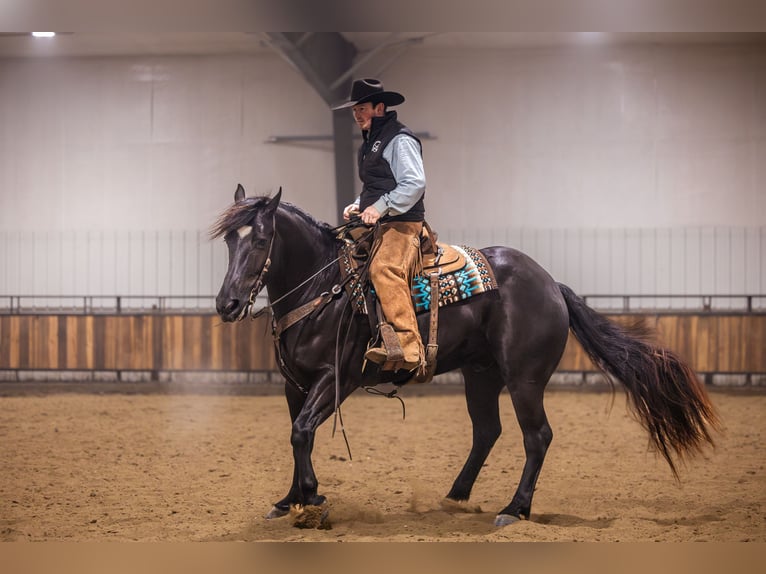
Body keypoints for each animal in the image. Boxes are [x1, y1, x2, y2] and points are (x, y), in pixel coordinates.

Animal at [212, 184, 719, 527]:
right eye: (229, 241)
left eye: (260, 240)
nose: (227, 305)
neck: (324, 287)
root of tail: (550, 284)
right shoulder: (293, 383)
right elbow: (299, 436)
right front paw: (289, 500)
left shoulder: (336, 377)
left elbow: (301, 433)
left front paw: (312, 500)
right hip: (481, 374)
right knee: (487, 431)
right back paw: (456, 496)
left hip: (524, 378)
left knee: (537, 436)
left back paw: (515, 509)